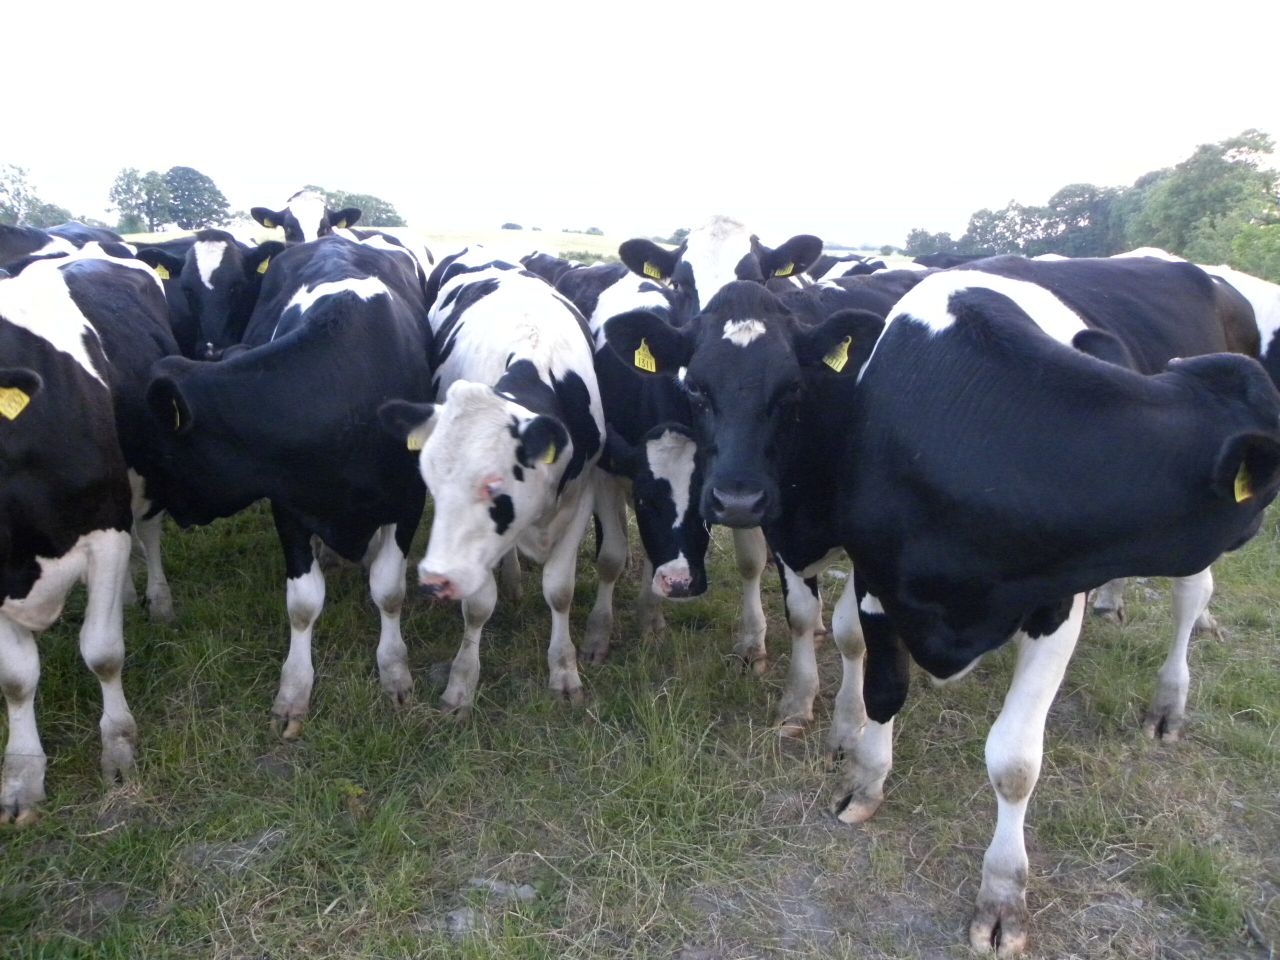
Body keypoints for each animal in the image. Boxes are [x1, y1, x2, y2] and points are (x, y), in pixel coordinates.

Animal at [143, 234, 432, 737]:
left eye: (162, 453)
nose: (172, 511)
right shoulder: (289, 504)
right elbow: (302, 602)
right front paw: (294, 691)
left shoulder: (408, 501)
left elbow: (389, 590)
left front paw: (395, 670)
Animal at [379, 247, 603, 718]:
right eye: (431, 484)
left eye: (495, 485)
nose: (435, 578)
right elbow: (479, 606)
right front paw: (461, 683)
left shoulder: (582, 495)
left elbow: (560, 590)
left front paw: (565, 672)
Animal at [603, 262, 1280, 956]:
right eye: (694, 389)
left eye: (791, 390)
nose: (737, 499)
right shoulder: (866, 570)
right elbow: (866, 670)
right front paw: (857, 768)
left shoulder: (1055, 601)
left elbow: (1014, 761)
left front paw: (1003, 895)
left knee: (1191, 596)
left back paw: (1169, 703)